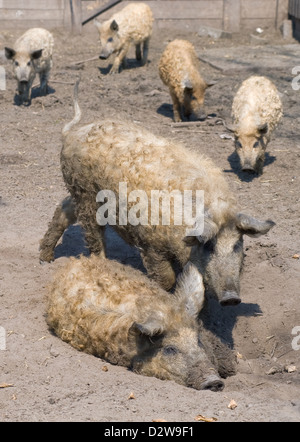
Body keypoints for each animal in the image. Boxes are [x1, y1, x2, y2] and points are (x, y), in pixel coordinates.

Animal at [39, 81, 276, 306]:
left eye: (237, 245)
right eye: (209, 246)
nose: (231, 298)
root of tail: (71, 133)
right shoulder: (150, 243)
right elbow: (166, 278)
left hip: (78, 191)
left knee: (63, 210)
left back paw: (45, 259)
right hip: (87, 195)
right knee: (92, 235)